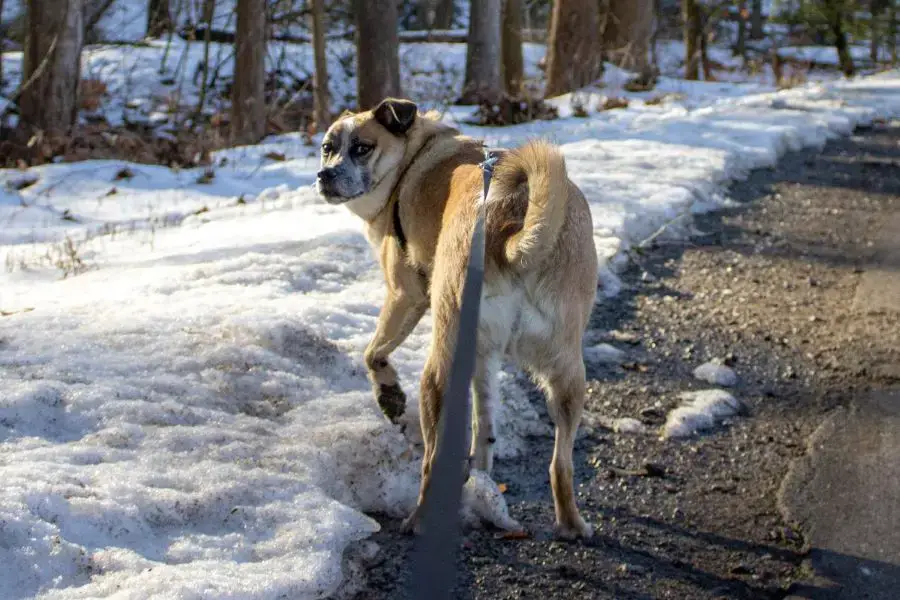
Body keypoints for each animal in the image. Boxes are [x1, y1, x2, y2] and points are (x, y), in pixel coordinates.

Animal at [314, 98, 596, 540]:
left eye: (361, 148)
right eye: (327, 148)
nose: (324, 175)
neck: (411, 158)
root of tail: (511, 227)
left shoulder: (405, 296)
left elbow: (373, 353)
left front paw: (390, 396)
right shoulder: (483, 354)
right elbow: (485, 417)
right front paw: (482, 468)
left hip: (440, 366)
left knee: (432, 462)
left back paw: (419, 520)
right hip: (567, 373)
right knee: (560, 463)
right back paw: (569, 523)